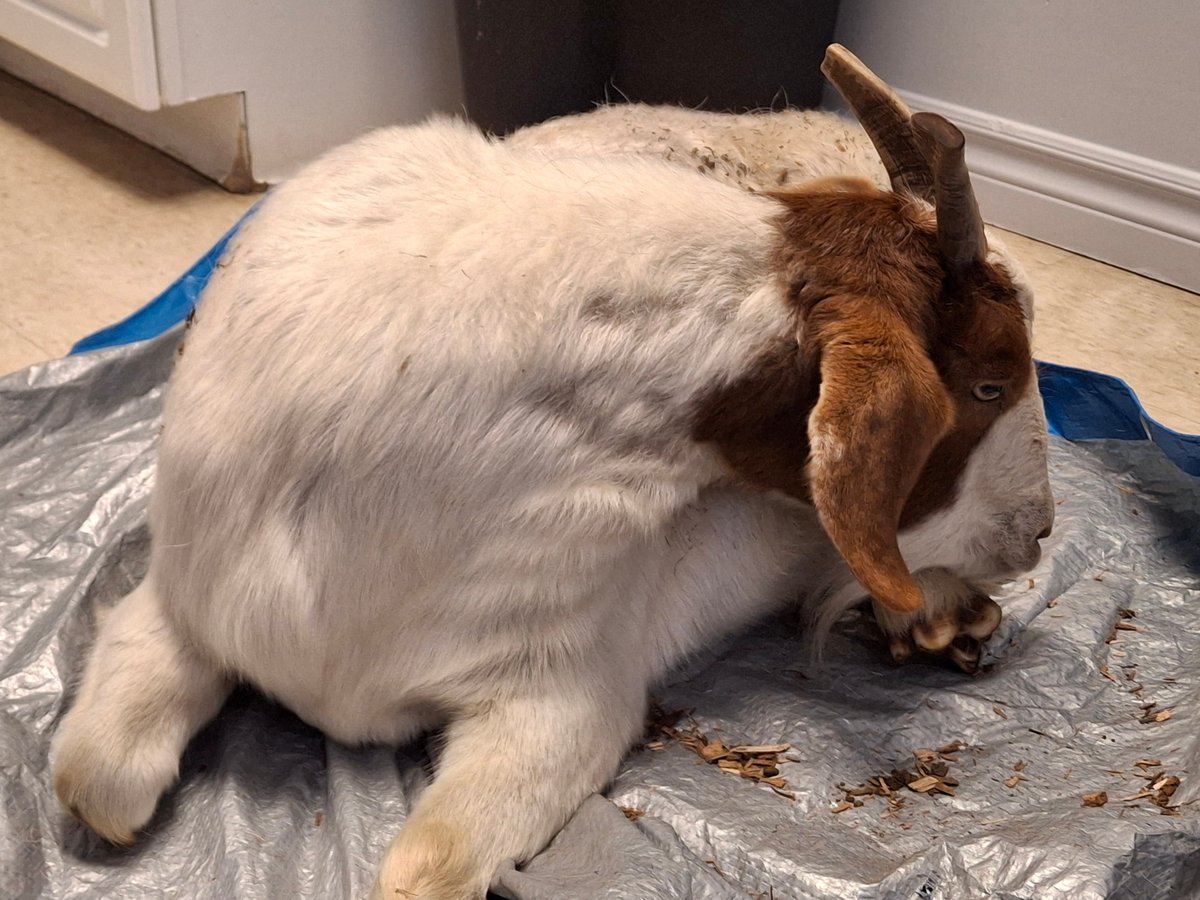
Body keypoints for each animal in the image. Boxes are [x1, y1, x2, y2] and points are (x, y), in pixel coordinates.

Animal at [51, 46, 1054, 899]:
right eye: (989, 381)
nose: (1040, 531)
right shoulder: (186, 597)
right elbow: (94, 779)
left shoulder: (567, 695)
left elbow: (423, 870)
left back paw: (935, 615)